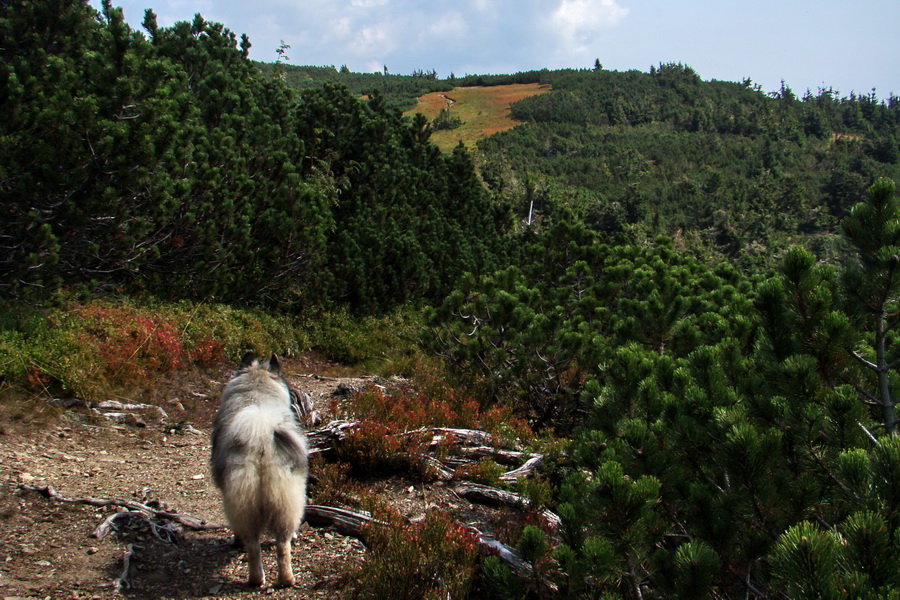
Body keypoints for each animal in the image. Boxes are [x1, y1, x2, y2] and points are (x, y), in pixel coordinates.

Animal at [211, 350, 310, 588]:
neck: (256, 391)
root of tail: (261, 439)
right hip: (284, 500)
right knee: (279, 545)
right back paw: (282, 579)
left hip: (244, 504)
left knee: (255, 545)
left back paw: (260, 578)